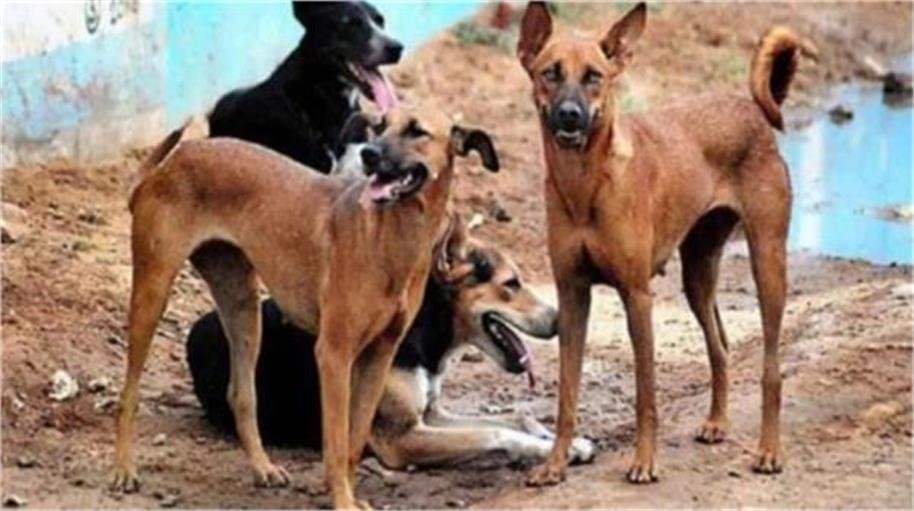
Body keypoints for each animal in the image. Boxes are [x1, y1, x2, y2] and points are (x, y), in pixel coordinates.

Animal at [111, 107, 499, 509]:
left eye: (416, 131)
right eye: (379, 126)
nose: (369, 154)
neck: (391, 236)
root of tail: (168, 165)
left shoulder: (378, 356)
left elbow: (354, 441)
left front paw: (351, 497)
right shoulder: (334, 355)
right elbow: (336, 441)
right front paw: (342, 501)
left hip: (243, 309)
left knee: (241, 396)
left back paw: (263, 467)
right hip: (153, 292)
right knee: (129, 394)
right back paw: (124, 470)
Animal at [186, 216, 595, 467]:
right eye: (511, 284)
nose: (560, 321)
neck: (421, 330)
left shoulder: (431, 414)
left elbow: (519, 415)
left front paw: (563, 440)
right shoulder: (400, 438)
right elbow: (495, 430)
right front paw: (548, 449)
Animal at [516, 2, 814, 485]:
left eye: (594, 76)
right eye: (550, 73)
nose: (570, 114)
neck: (585, 184)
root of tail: (751, 107)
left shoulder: (637, 296)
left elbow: (646, 392)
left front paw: (644, 462)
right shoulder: (572, 295)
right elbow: (567, 394)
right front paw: (555, 464)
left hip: (768, 263)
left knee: (771, 370)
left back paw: (769, 451)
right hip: (697, 273)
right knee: (721, 348)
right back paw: (717, 422)